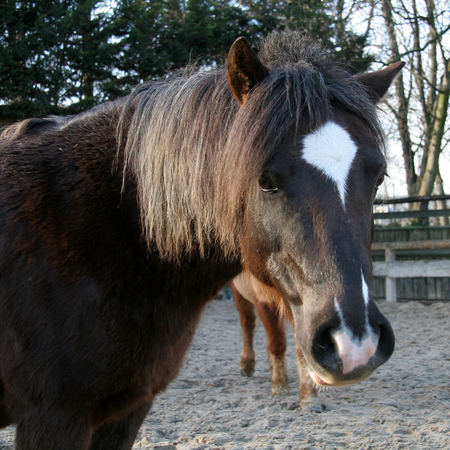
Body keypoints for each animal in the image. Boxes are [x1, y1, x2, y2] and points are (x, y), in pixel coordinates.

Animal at [231, 272, 318, 406]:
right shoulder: (267, 303)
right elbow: (277, 344)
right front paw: (280, 385)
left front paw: (309, 394)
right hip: (241, 294)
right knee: (248, 323)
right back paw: (247, 363)